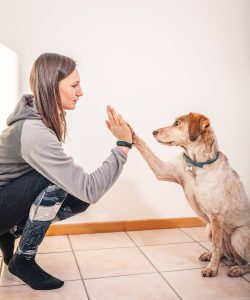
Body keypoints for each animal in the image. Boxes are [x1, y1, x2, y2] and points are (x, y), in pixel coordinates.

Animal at [132, 113, 249, 278]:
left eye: (177, 123)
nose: (153, 132)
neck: (197, 164)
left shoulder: (216, 215)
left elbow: (216, 245)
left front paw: (212, 269)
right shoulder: (164, 170)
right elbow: (144, 148)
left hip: (238, 233)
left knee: (243, 260)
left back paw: (237, 269)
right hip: (208, 229)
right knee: (224, 253)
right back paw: (211, 256)